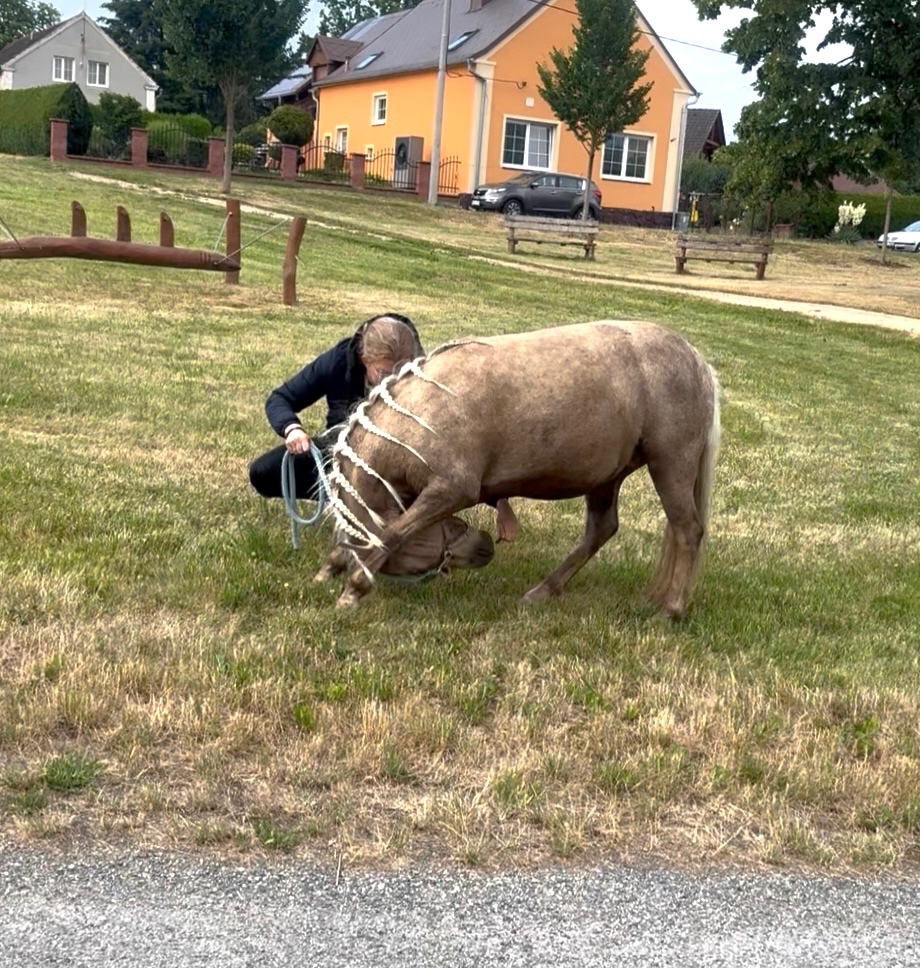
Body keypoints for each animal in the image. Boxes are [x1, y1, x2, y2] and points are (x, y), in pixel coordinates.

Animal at [314, 320, 720, 618]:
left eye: (455, 528)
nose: (484, 546)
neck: (422, 413)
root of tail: (696, 361)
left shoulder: (450, 490)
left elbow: (392, 534)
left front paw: (353, 588)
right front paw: (332, 568)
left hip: (670, 462)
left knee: (688, 530)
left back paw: (672, 608)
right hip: (607, 475)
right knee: (601, 530)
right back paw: (544, 590)